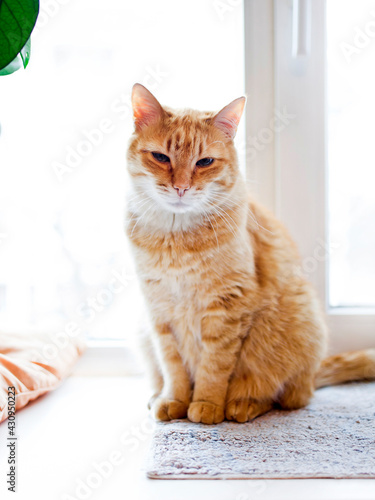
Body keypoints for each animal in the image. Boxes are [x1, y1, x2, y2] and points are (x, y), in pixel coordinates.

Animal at [126, 84, 375, 424]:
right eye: (161, 157)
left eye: (204, 162)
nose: (181, 187)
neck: (177, 239)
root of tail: (312, 376)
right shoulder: (159, 312)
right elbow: (173, 365)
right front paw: (173, 400)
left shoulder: (227, 306)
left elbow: (214, 366)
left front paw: (206, 405)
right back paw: (157, 397)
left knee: (285, 397)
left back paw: (243, 405)